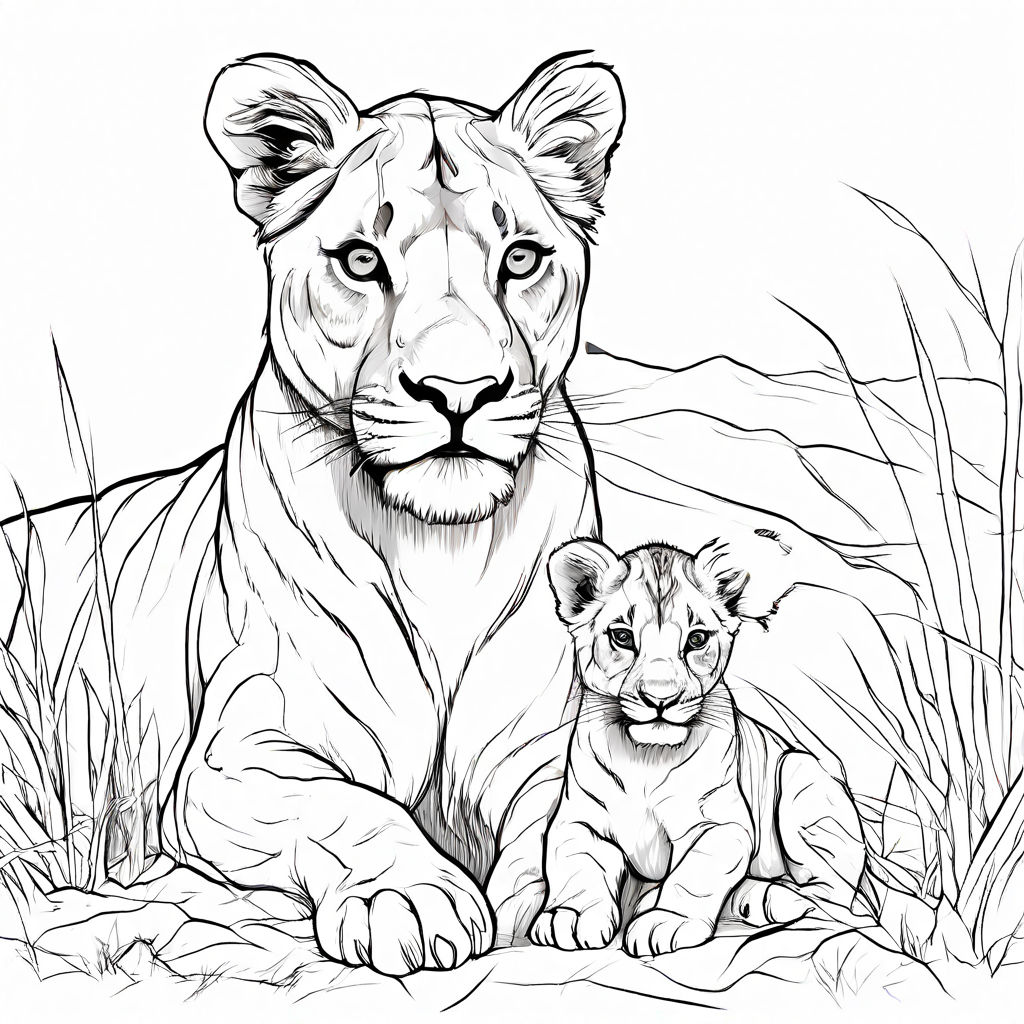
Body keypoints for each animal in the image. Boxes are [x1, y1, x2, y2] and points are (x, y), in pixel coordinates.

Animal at [0, 52, 624, 977]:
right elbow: (351, 808)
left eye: (520, 258)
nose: (460, 392)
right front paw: (407, 899)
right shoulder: (237, 756)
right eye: (362, 261)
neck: (439, 556)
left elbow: (559, 815)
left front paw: (554, 897)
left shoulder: (547, 741)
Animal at [531, 539, 869, 956]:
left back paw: (767, 899)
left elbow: (693, 875)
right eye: (622, 637)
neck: (646, 758)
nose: (660, 698)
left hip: (801, 775)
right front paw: (570, 917)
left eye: (696, 640)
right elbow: (578, 867)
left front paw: (664, 921)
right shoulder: (580, 821)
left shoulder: (722, 825)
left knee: (833, 896)